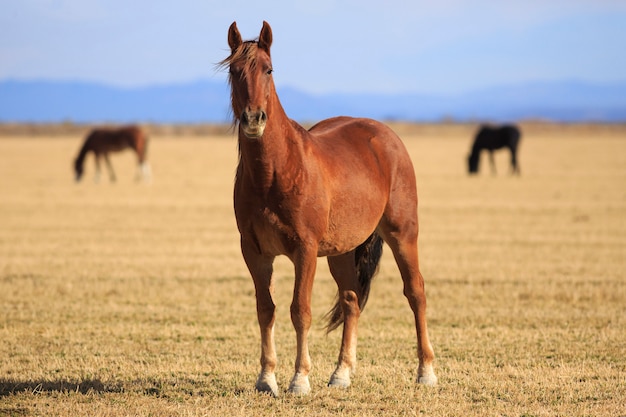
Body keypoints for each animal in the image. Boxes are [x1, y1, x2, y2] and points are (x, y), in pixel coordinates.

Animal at [219, 20, 434, 396]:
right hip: (341, 251)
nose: (253, 119)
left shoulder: (304, 250)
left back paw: (426, 371)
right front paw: (266, 378)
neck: (275, 171)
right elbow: (266, 309)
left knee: (415, 292)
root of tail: (385, 135)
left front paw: (299, 379)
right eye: (234, 70)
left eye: (269, 69)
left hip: (402, 234)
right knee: (351, 300)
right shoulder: (254, 252)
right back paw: (341, 373)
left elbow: (299, 310)